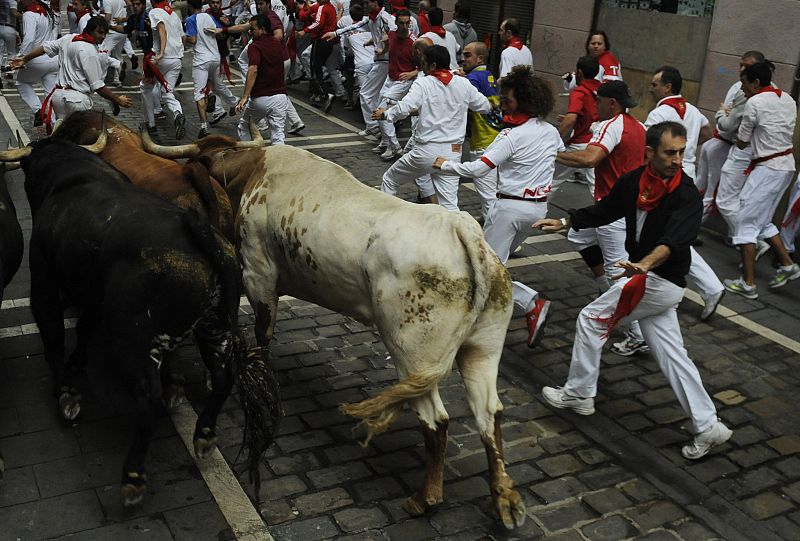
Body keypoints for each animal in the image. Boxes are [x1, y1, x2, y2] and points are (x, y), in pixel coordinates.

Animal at [20, 138, 282, 502]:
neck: (70, 171)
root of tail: (201, 232)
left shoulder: (43, 279)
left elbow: (53, 339)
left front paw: (66, 393)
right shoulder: (96, 296)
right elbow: (84, 328)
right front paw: (77, 365)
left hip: (133, 339)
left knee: (148, 402)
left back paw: (133, 476)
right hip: (214, 326)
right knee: (223, 376)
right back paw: (203, 434)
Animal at [145, 137, 532, 528]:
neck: (253, 170)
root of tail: (461, 230)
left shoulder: (258, 275)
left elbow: (263, 331)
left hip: (413, 355)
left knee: (436, 421)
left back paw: (424, 499)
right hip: (481, 349)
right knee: (489, 414)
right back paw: (505, 498)